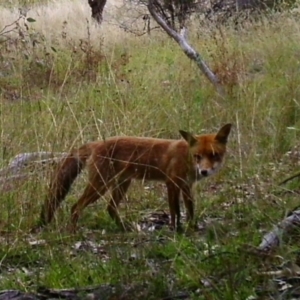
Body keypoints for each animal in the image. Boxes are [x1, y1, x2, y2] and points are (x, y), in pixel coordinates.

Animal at [37, 124, 232, 232]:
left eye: (214, 155)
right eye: (198, 156)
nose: (204, 172)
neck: (186, 157)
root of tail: (96, 142)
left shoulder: (186, 186)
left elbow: (190, 210)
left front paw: (192, 228)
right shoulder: (171, 183)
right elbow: (175, 211)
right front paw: (176, 230)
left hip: (122, 184)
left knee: (110, 208)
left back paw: (124, 229)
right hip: (101, 186)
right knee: (75, 207)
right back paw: (73, 231)